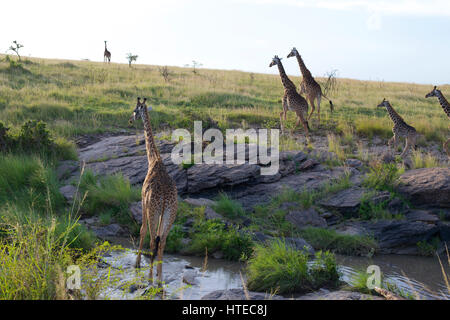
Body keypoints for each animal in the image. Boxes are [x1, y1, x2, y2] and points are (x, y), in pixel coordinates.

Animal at [128, 96, 178, 284]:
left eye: (135, 110)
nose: (130, 120)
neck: (154, 160)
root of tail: (164, 198)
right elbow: (158, 239)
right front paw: (157, 273)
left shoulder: (143, 201)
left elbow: (141, 230)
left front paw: (136, 264)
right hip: (170, 214)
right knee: (162, 241)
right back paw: (160, 278)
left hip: (153, 211)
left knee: (151, 239)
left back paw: (149, 278)